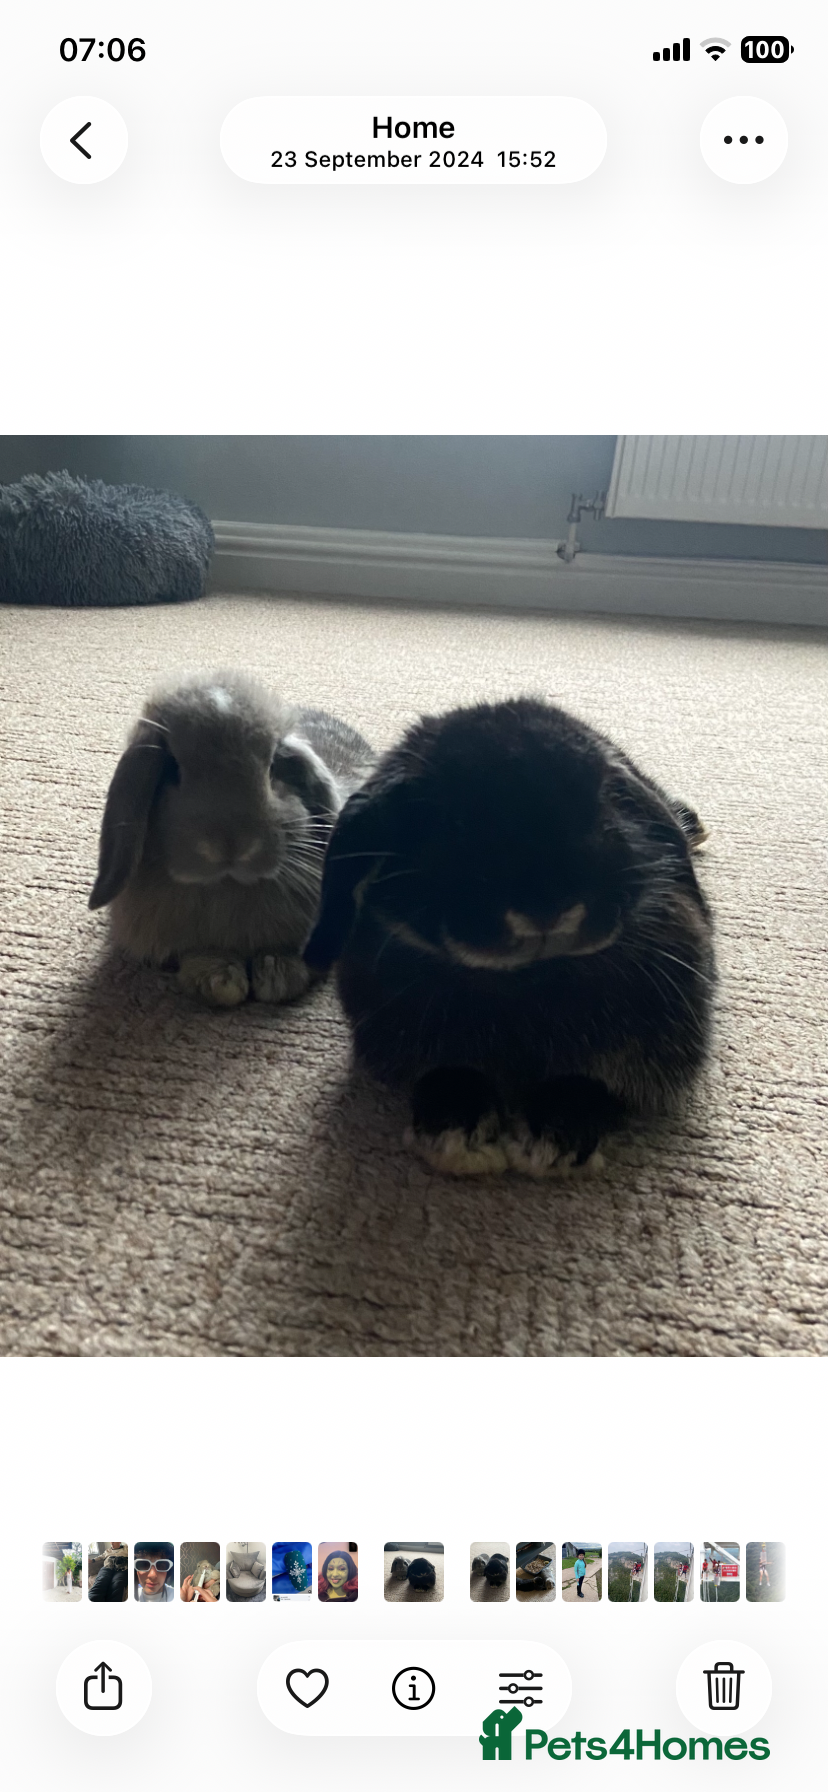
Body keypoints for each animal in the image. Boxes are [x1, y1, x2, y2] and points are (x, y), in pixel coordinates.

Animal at [89, 670, 375, 1007]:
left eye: (274, 767)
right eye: (172, 769)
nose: (231, 846)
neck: (227, 886)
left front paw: (278, 974)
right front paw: (220, 979)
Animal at [304, 695, 715, 1174]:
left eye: (604, 801)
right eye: (451, 820)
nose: (548, 907)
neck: (527, 976)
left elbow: (591, 1085)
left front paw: (557, 1140)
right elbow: (448, 1075)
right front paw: (454, 1133)